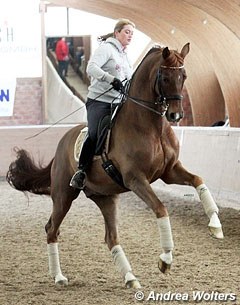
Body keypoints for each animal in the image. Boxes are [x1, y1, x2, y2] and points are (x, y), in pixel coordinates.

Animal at [6, 42, 223, 288]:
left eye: (184, 76)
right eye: (165, 77)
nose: (176, 115)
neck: (151, 127)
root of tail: (62, 143)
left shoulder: (169, 171)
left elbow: (198, 180)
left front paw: (216, 226)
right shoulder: (136, 179)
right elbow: (161, 209)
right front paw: (165, 259)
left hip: (105, 198)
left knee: (110, 237)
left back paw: (130, 278)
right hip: (63, 195)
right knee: (52, 229)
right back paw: (59, 276)